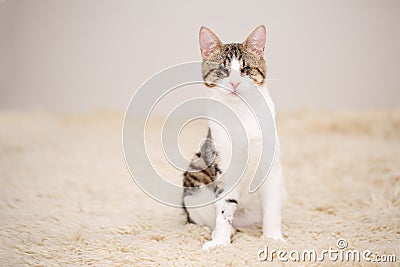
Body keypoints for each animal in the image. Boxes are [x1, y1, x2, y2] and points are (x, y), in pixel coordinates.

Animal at [181, 26, 284, 250]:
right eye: (223, 70)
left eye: (246, 70)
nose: (235, 82)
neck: (242, 112)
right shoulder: (224, 165)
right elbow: (223, 209)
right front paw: (220, 241)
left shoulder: (270, 164)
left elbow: (272, 205)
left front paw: (273, 237)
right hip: (195, 184)